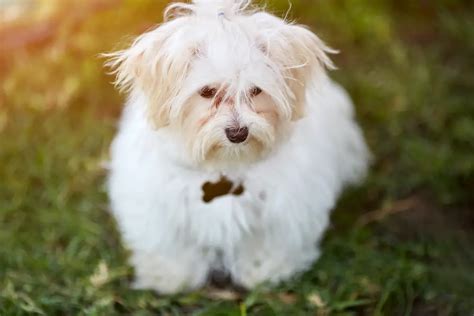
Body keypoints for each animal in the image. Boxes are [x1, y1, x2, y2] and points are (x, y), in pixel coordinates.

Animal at [105, 0, 368, 294]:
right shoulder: (156, 200)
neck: (226, 164)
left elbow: (270, 240)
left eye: (255, 91)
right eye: (207, 92)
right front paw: (170, 277)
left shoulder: (286, 204)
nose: (238, 133)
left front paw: (263, 271)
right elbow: (170, 243)